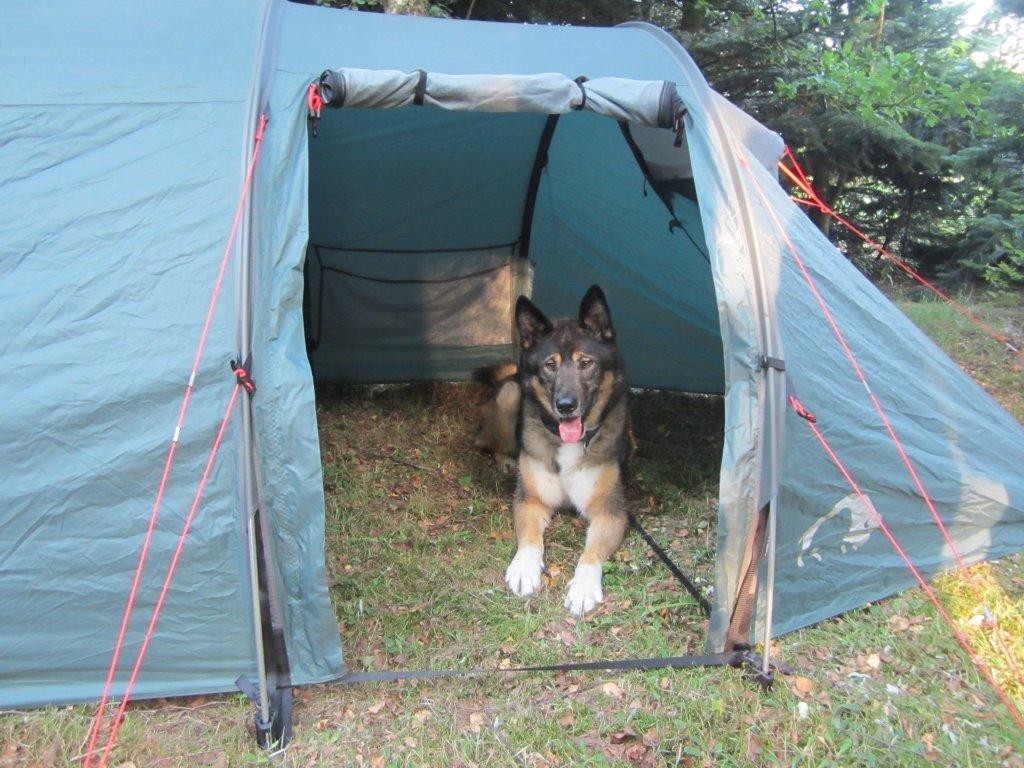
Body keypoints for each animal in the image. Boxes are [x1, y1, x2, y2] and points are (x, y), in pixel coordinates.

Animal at [475, 286, 626, 618]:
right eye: (550, 365)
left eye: (586, 363)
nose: (566, 405)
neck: (569, 442)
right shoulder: (532, 500)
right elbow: (530, 539)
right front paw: (524, 569)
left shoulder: (610, 512)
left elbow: (591, 553)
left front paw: (583, 588)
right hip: (511, 395)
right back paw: (507, 462)